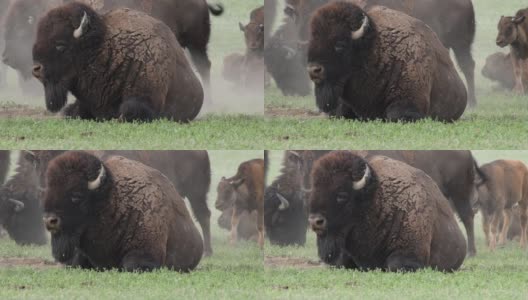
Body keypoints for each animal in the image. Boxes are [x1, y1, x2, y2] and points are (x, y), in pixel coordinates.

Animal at [22, 149, 212, 255]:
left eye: (75, 195)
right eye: (36, 163)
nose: (42, 189)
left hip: (196, 194)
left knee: (203, 216)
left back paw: (208, 252)